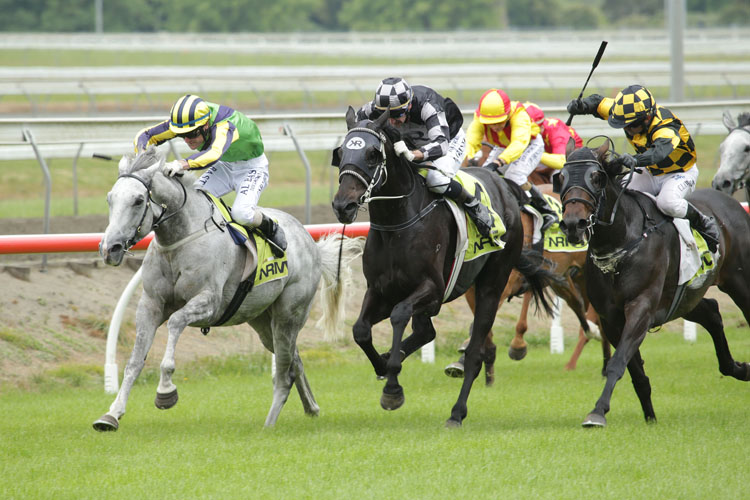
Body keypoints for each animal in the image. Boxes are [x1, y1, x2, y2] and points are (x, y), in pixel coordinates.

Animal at [94, 147, 364, 430]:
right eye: (110, 199)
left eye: (138, 200)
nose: (109, 248)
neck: (180, 239)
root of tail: (311, 243)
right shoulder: (150, 304)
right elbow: (135, 361)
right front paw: (111, 414)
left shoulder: (208, 303)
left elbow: (176, 322)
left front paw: (165, 390)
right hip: (262, 321)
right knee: (294, 362)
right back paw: (311, 407)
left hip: (288, 316)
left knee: (285, 373)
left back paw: (268, 425)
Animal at [332, 107, 560, 428]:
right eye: (341, 153)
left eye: (373, 154)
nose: (344, 206)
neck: (397, 223)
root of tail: (505, 186)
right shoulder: (379, 290)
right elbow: (361, 330)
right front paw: (384, 364)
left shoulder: (432, 289)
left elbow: (399, 314)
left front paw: (392, 387)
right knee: (427, 332)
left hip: (491, 285)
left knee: (475, 352)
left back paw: (457, 412)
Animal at [560, 139, 750, 428]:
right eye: (560, 177)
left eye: (596, 177)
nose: (573, 224)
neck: (621, 242)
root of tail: (734, 205)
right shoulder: (611, 318)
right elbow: (635, 371)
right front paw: (649, 416)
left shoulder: (641, 307)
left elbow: (618, 362)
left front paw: (597, 412)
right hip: (684, 298)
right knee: (712, 312)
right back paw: (738, 368)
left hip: (740, 282)